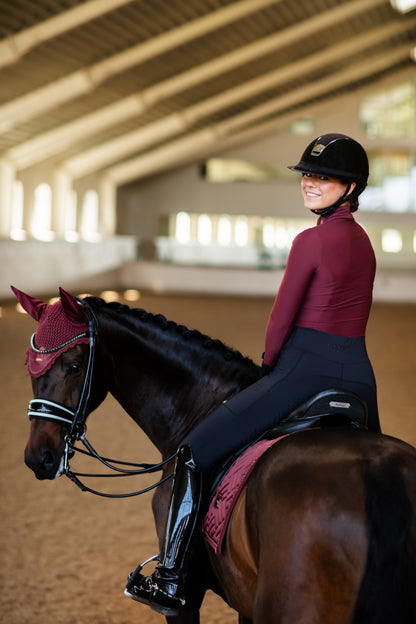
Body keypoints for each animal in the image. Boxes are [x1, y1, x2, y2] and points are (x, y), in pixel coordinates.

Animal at [14, 288, 416, 624]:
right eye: (29, 365)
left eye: (74, 366)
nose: (39, 457)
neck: (203, 403)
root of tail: (377, 470)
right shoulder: (244, 601)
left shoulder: (187, 602)